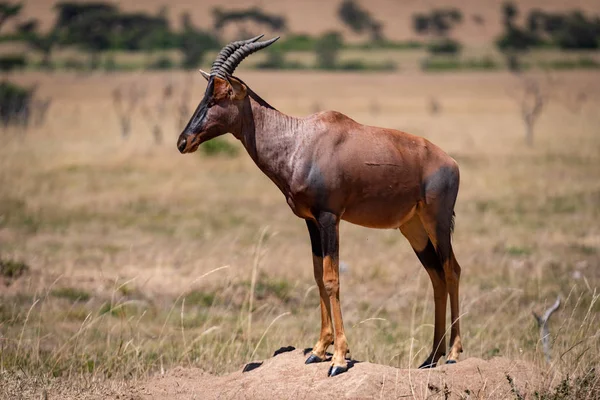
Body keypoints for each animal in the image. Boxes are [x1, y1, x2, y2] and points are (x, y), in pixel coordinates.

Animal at [177, 36, 464, 376]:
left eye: (220, 96)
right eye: (205, 93)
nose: (183, 141)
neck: (299, 140)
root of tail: (451, 162)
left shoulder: (330, 218)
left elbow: (331, 279)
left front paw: (339, 359)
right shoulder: (311, 221)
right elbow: (316, 275)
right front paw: (318, 350)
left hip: (437, 221)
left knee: (452, 270)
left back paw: (454, 354)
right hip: (413, 228)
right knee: (436, 276)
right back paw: (431, 357)